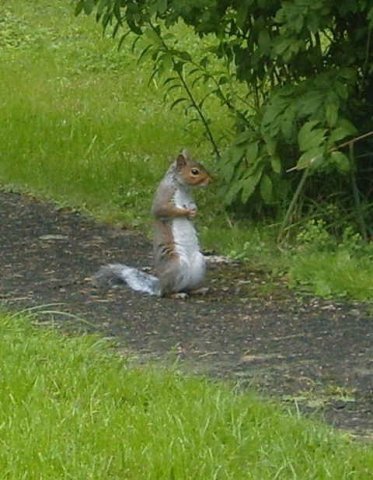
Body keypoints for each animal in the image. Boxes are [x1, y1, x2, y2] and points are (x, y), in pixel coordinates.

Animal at [94, 150, 211, 298]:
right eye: (194, 171)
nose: (210, 180)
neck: (182, 188)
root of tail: (159, 285)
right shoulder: (163, 199)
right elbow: (165, 210)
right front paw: (185, 212)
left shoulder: (190, 200)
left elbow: (193, 207)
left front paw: (194, 212)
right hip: (176, 265)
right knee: (167, 292)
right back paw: (176, 294)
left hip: (199, 266)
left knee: (187, 287)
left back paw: (198, 290)